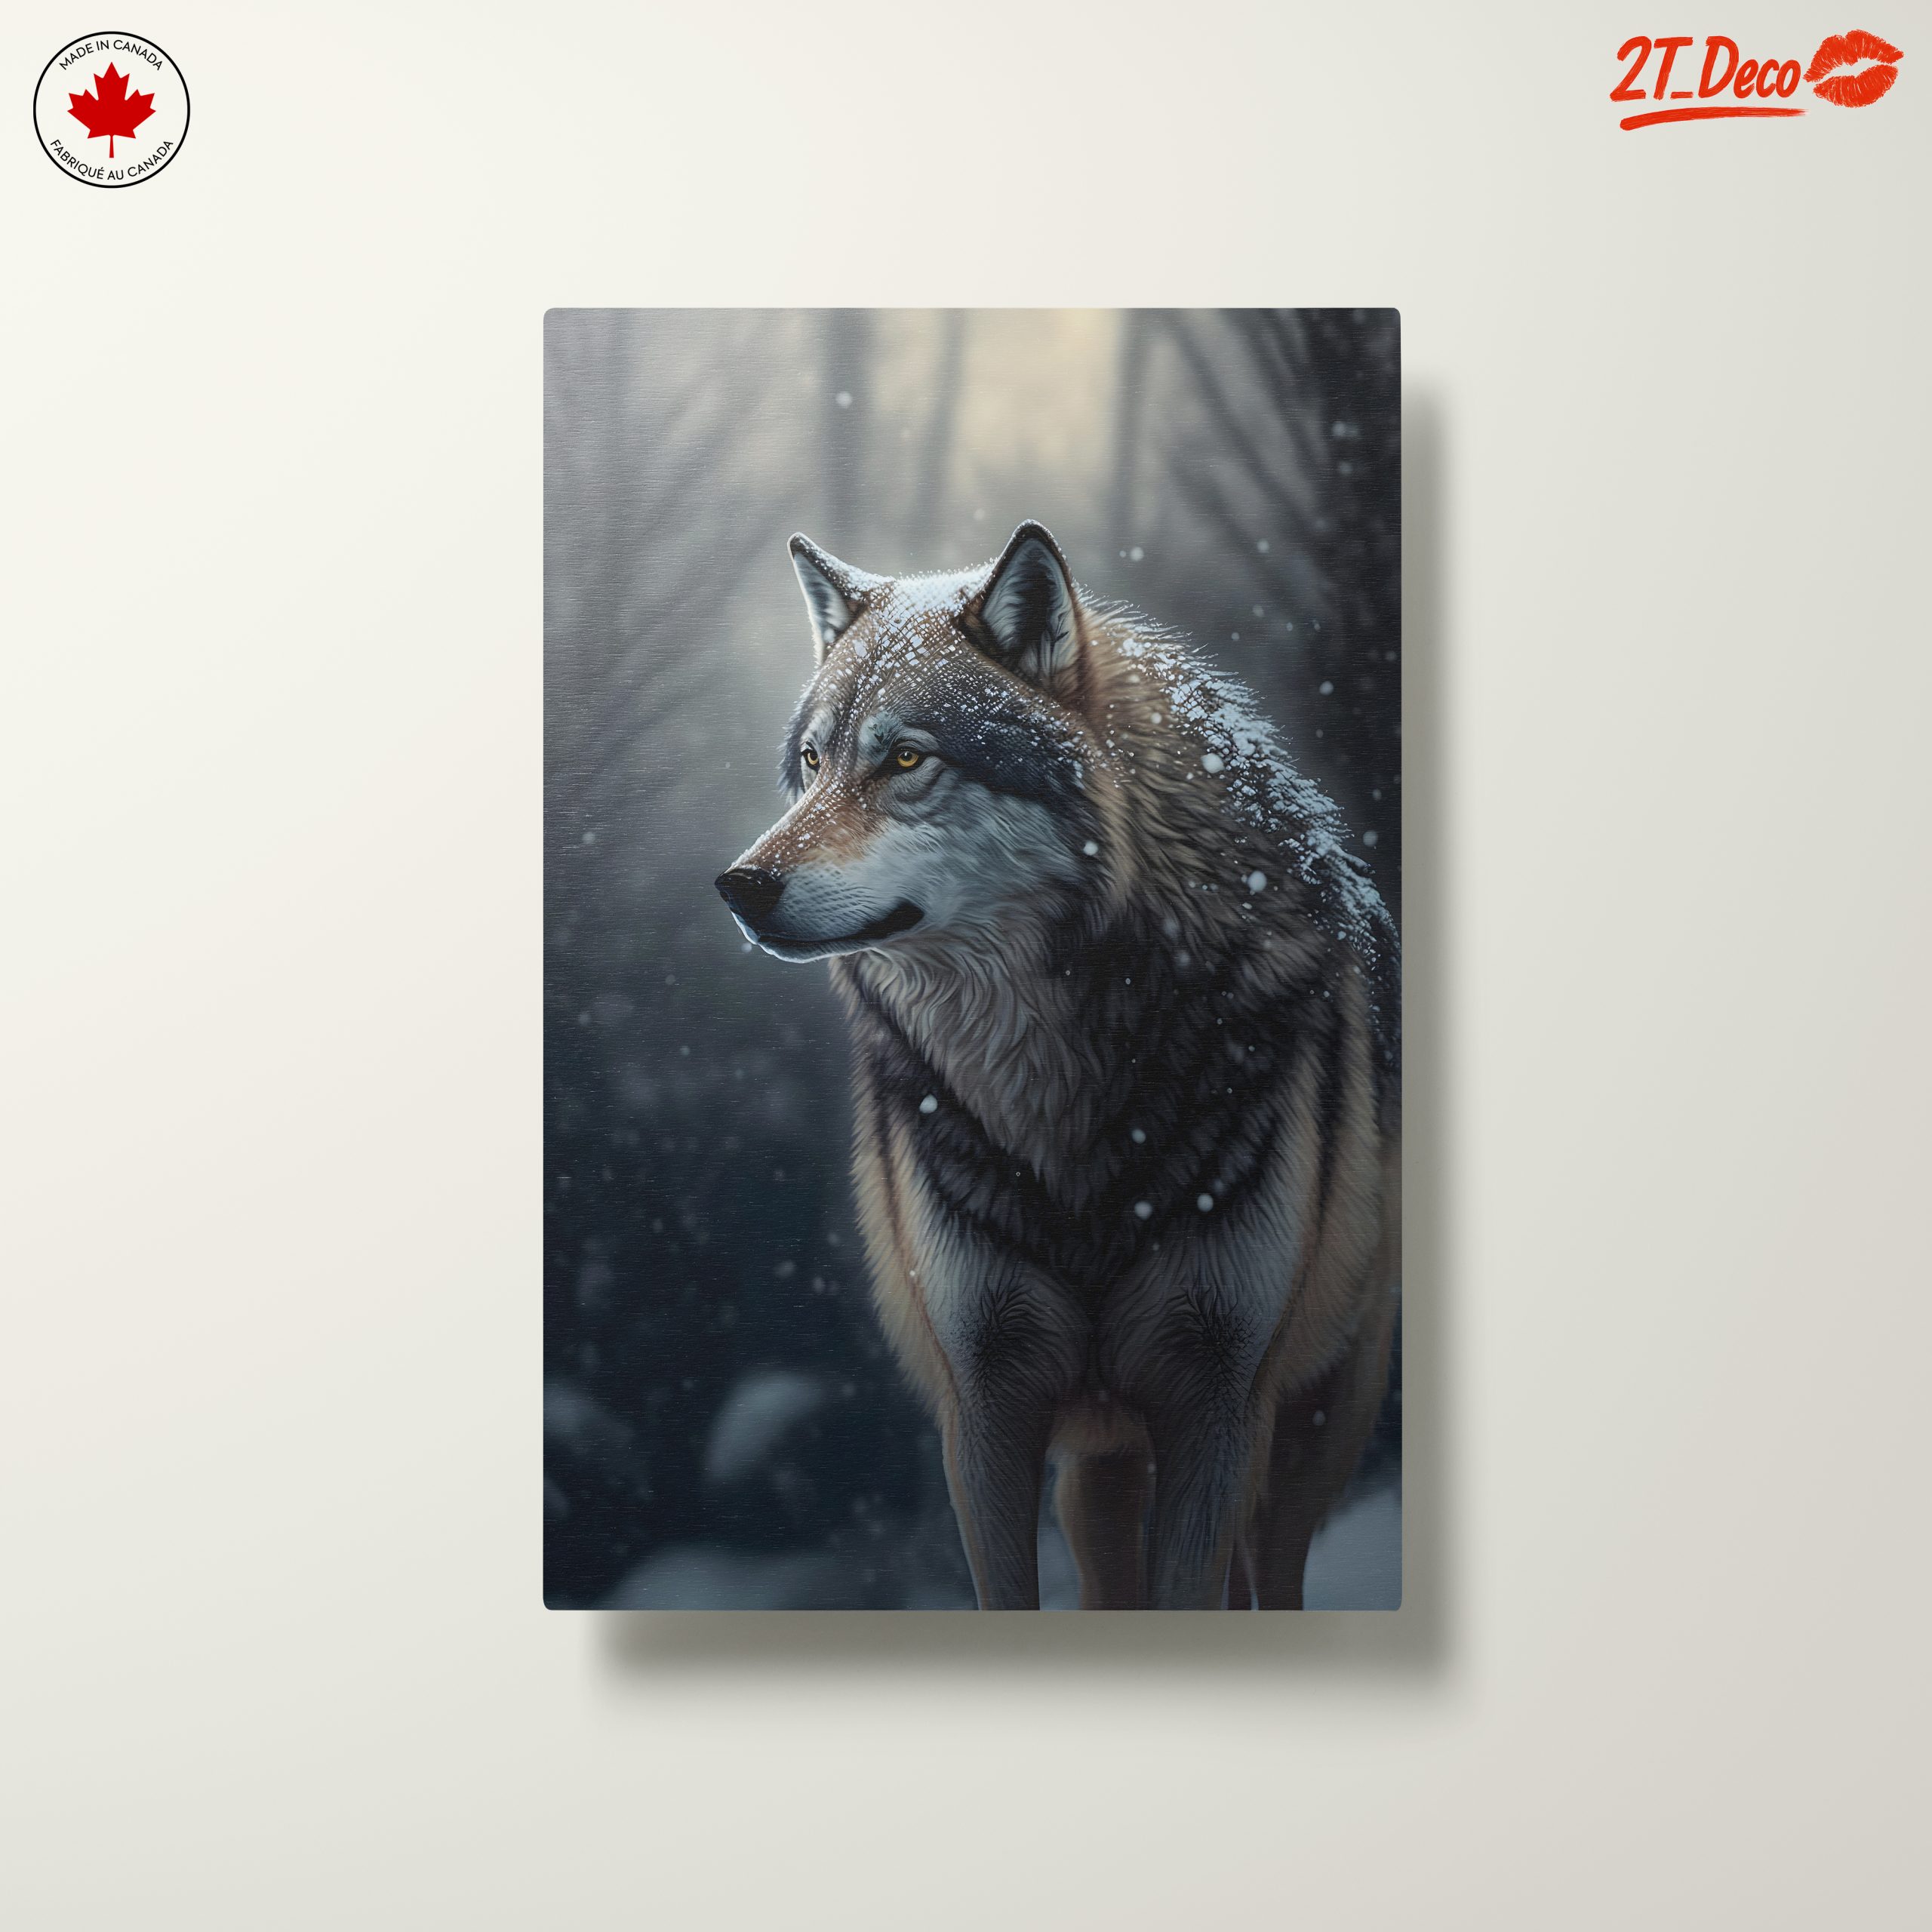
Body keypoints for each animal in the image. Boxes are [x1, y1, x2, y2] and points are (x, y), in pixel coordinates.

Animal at [716, 522, 1400, 1609]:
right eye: (814, 761)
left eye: (904, 758)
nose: (739, 887)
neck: (1055, 1097)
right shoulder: (984, 1405)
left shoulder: (1220, 1399)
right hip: (1101, 1459)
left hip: (1317, 1419)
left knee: (1274, 1568)